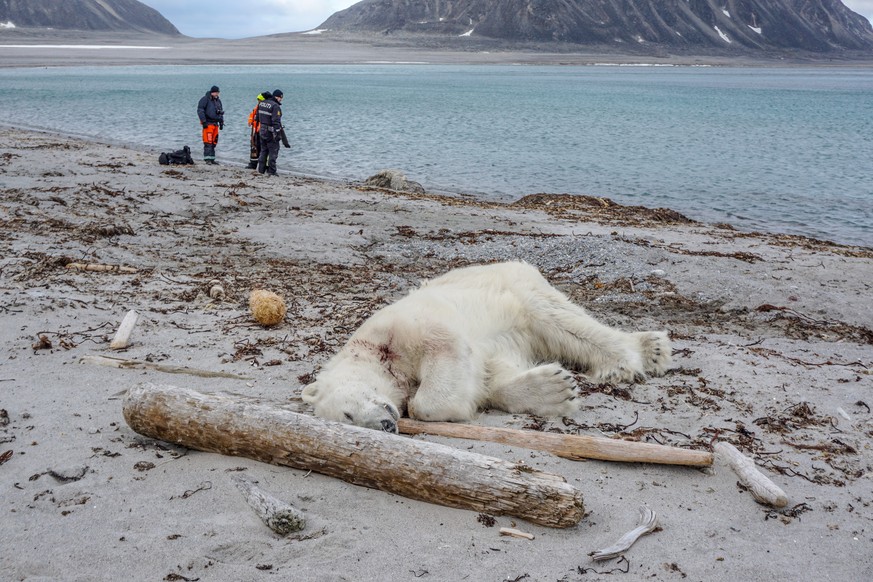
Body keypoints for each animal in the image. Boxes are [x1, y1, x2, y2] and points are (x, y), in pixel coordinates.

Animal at [304, 264, 672, 434]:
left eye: (347, 414)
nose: (386, 425)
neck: (376, 353)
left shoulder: (403, 327)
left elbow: (444, 354)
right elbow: (491, 375)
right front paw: (554, 389)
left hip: (517, 288)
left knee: (561, 321)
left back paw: (638, 355)